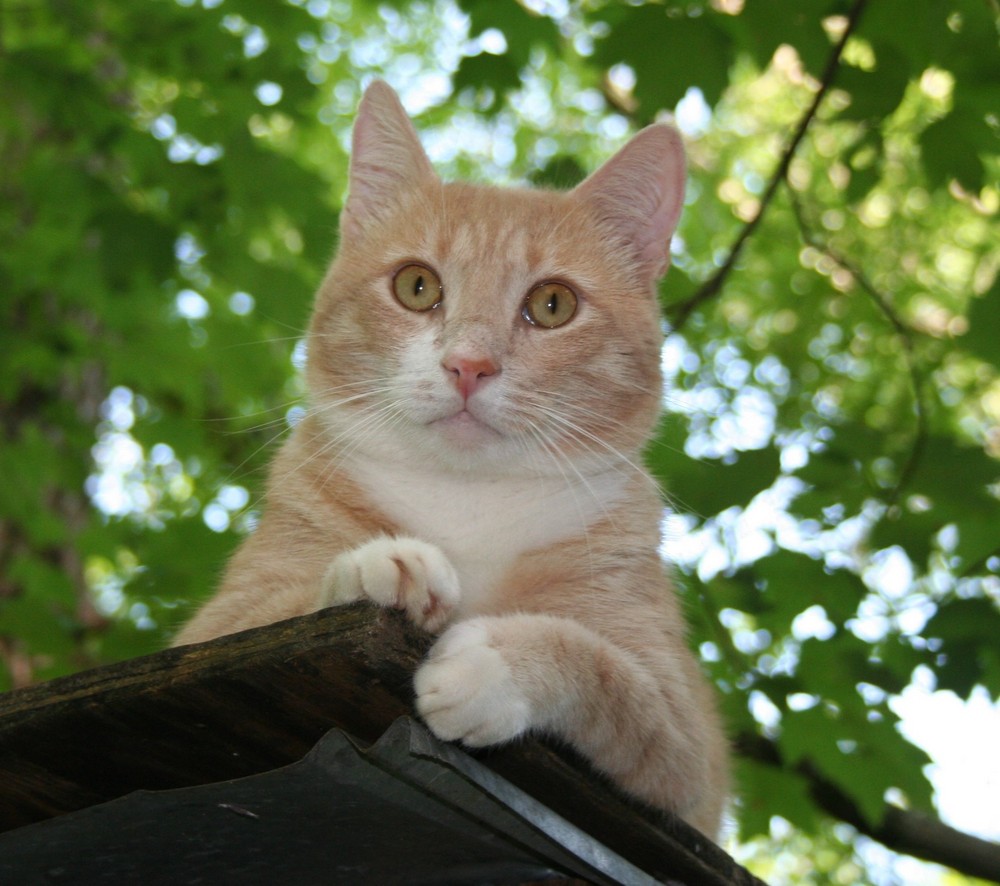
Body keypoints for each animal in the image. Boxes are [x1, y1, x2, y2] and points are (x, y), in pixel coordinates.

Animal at [174, 80, 728, 836]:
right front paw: (382, 568)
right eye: (417, 286)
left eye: (552, 304)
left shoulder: (684, 738)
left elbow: (609, 675)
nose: (469, 364)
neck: (469, 501)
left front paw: (495, 664)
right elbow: (280, 613)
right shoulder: (214, 632)